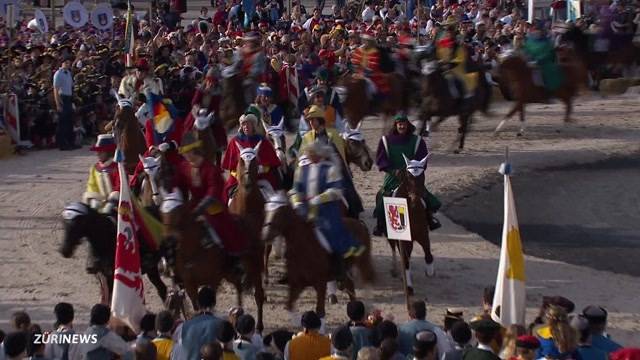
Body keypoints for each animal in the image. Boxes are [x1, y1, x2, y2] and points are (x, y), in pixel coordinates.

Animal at [384, 156, 436, 296]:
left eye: (422, 176)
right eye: (408, 176)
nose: (415, 199)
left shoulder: (423, 235)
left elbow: (428, 255)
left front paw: (429, 271)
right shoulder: (404, 240)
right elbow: (405, 261)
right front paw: (409, 286)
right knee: (394, 249)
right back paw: (394, 269)